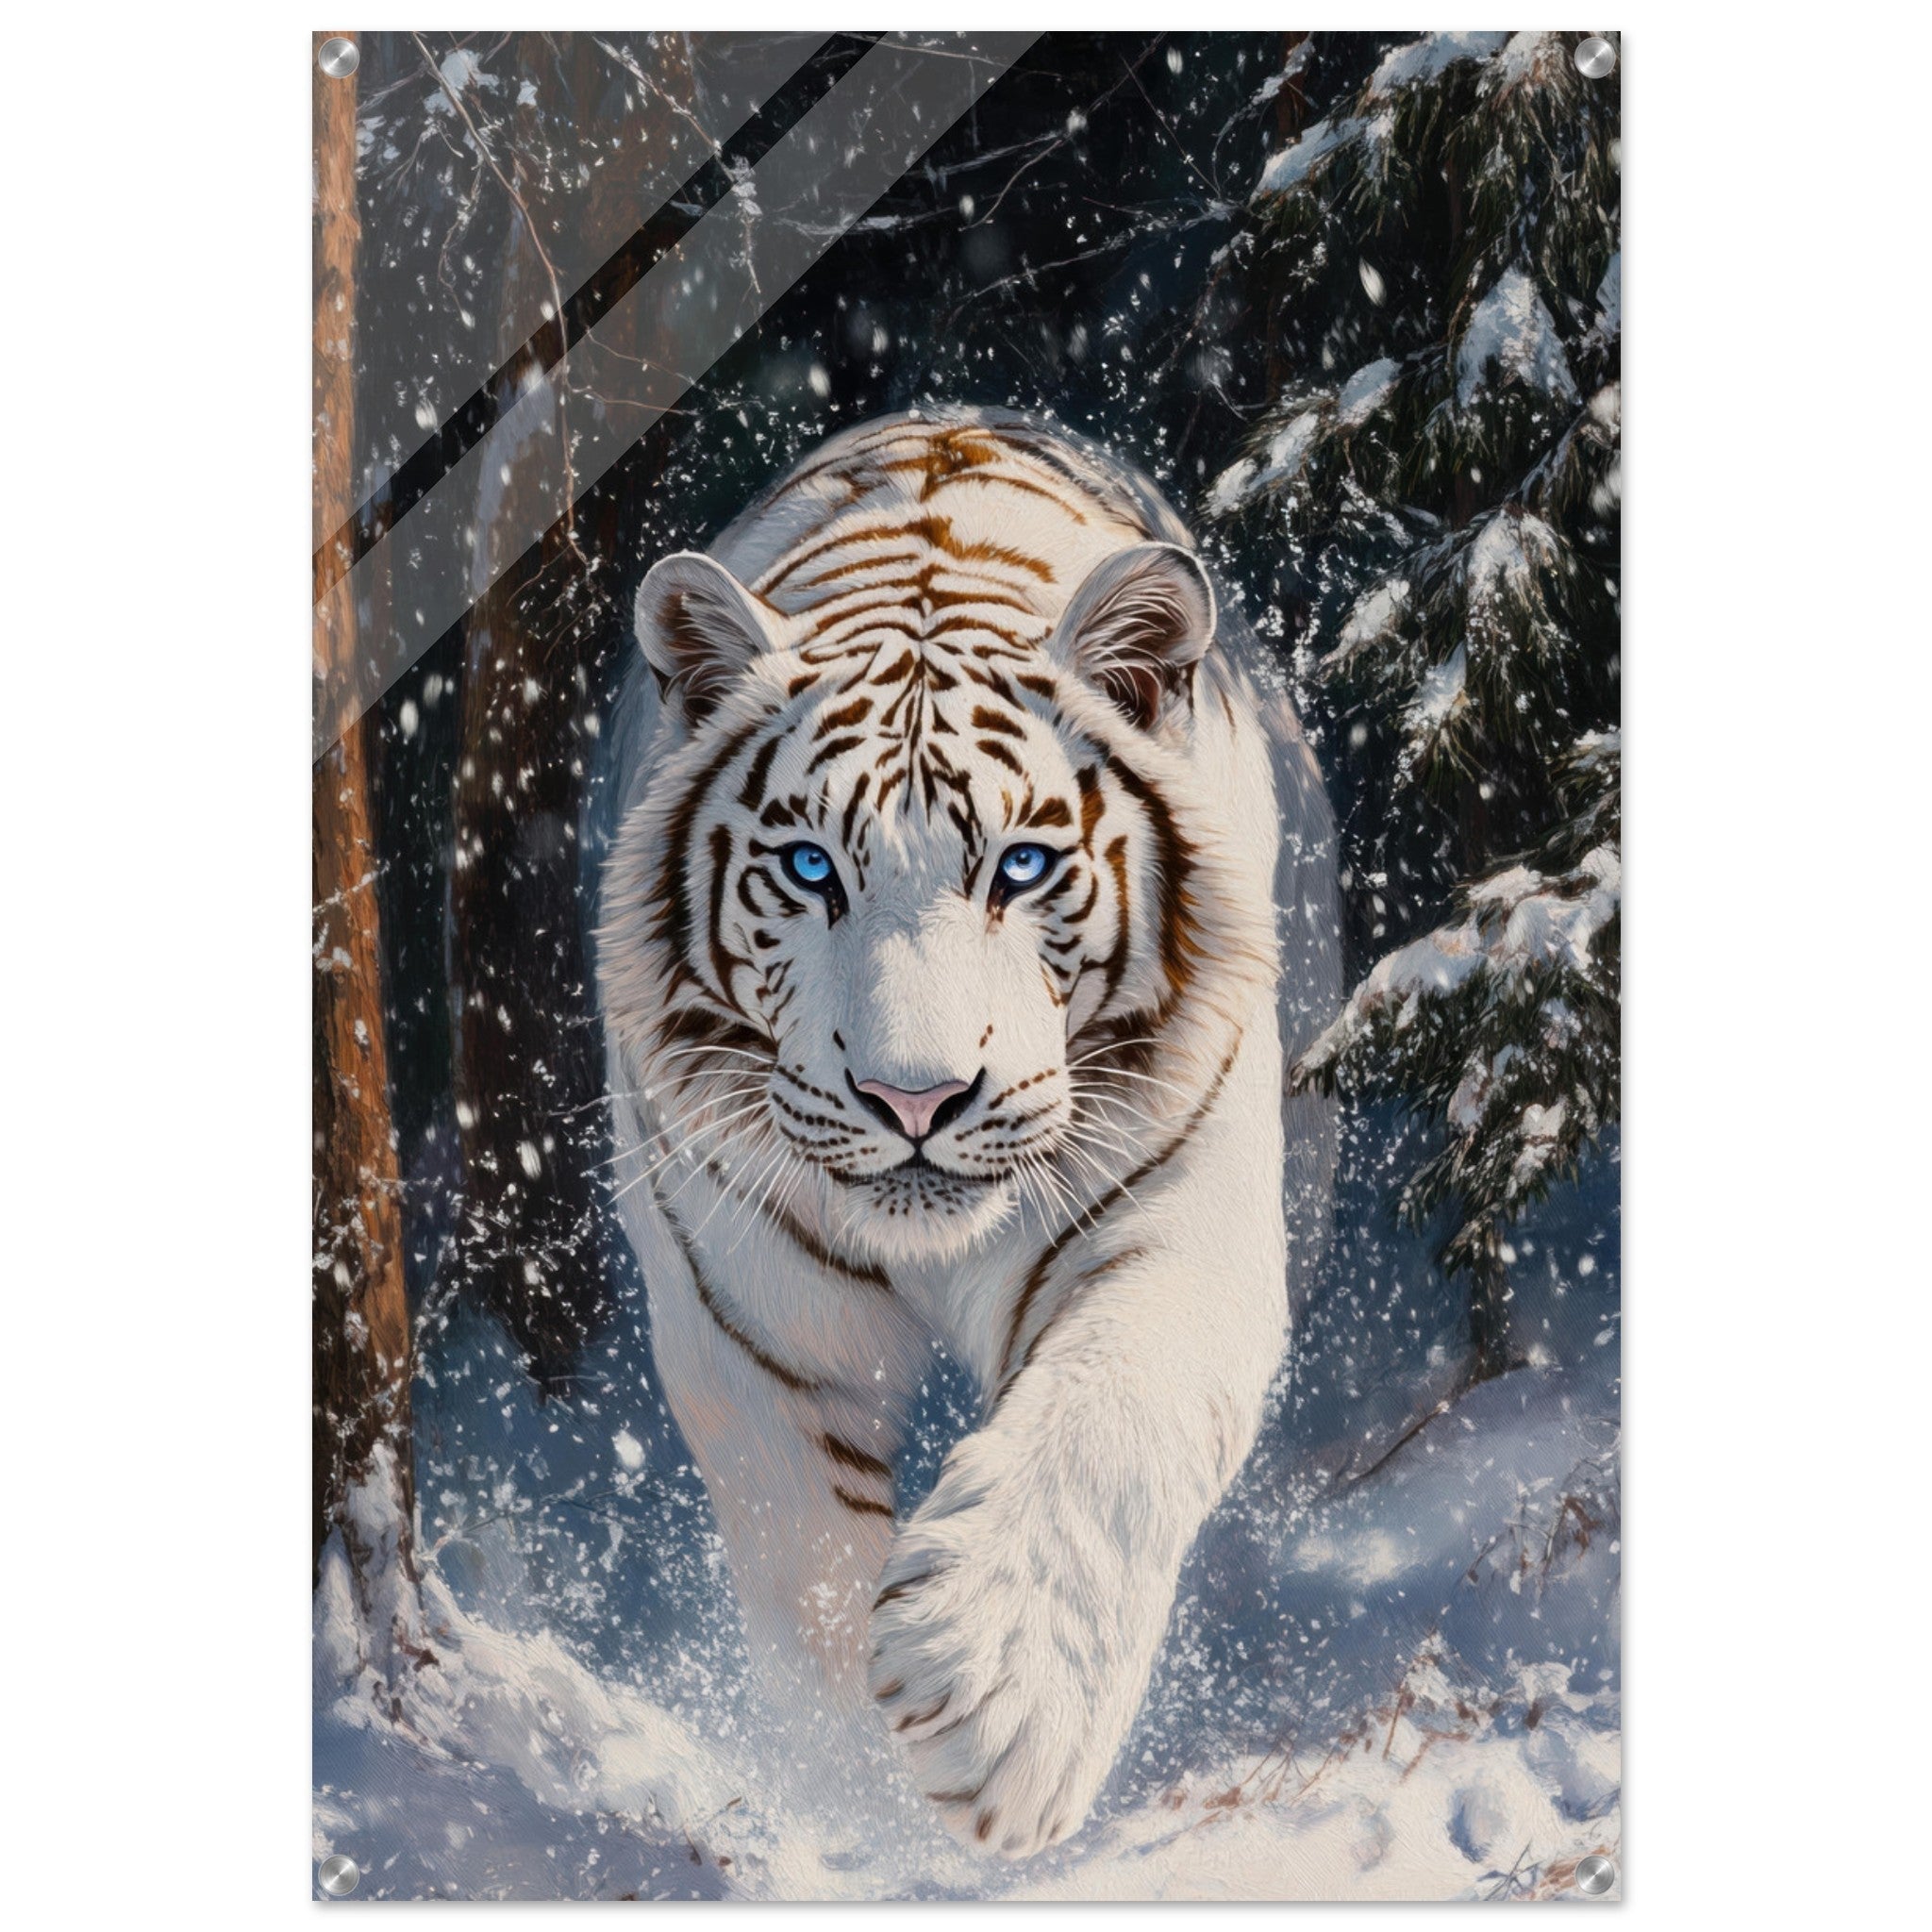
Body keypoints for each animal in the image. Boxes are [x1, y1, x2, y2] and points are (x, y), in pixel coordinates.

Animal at [594, 406, 1338, 1860]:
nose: (915, 1099)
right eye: (810, 869)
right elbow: (803, 1567)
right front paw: (862, 1806)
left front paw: (995, 1703)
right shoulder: (747, 1320)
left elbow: (1111, 1427)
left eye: (1023, 867)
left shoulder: (1181, 1225)